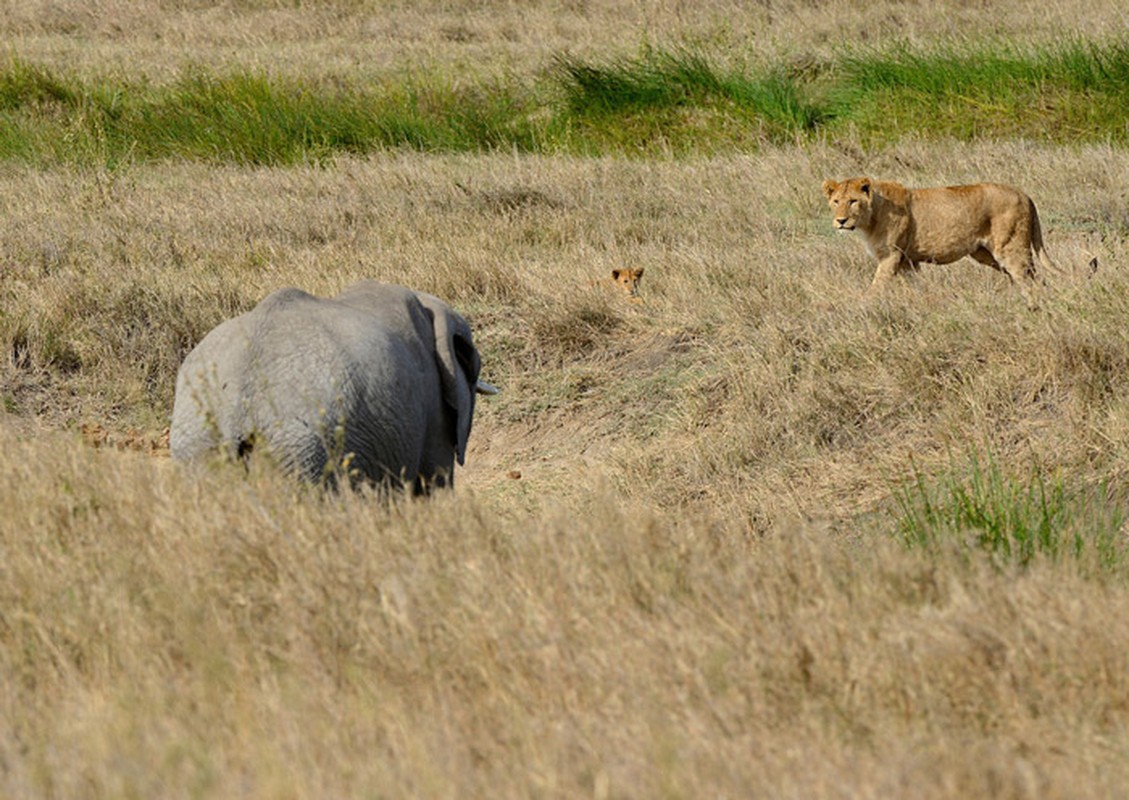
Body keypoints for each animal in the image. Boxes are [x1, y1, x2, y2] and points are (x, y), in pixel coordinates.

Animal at [817, 176, 1070, 306]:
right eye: (836, 201)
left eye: (852, 201)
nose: (840, 220)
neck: (871, 217)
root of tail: (1025, 194)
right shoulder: (908, 261)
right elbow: (914, 288)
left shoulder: (891, 256)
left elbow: (876, 287)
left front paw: (861, 306)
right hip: (985, 253)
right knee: (1036, 278)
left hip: (1010, 248)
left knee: (1029, 280)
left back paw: (1032, 307)